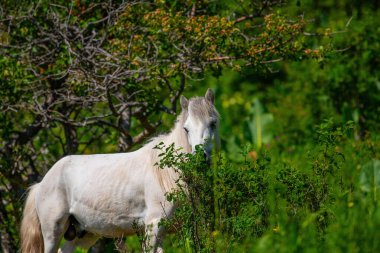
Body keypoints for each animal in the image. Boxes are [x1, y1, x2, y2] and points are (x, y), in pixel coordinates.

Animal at [20, 89, 220, 253]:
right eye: (186, 129)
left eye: (213, 124)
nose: (200, 158)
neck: (167, 173)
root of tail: (42, 183)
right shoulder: (153, 226)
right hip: (52, 232)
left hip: (84, 233)